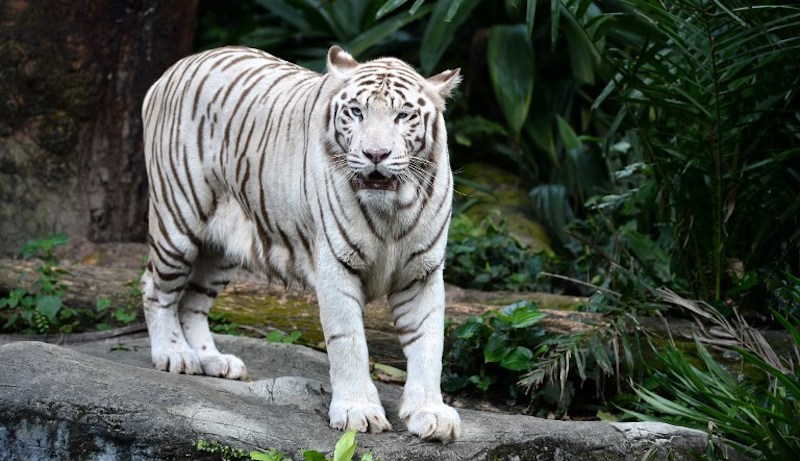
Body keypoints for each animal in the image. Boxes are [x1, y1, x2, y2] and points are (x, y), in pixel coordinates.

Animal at [141, 45, 460, 440]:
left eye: (403, 115)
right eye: (356, 112)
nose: (376, 155)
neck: (392, 210)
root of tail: (177, 66)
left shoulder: (422, 272)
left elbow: (429, 342)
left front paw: (430, 413)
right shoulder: (336, 266)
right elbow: (348, 341)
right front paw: (358, 411)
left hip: (221, 250)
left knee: (192, 303)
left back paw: (212, 360)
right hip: (177, 222)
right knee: (156, 289)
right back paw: (175, 355)